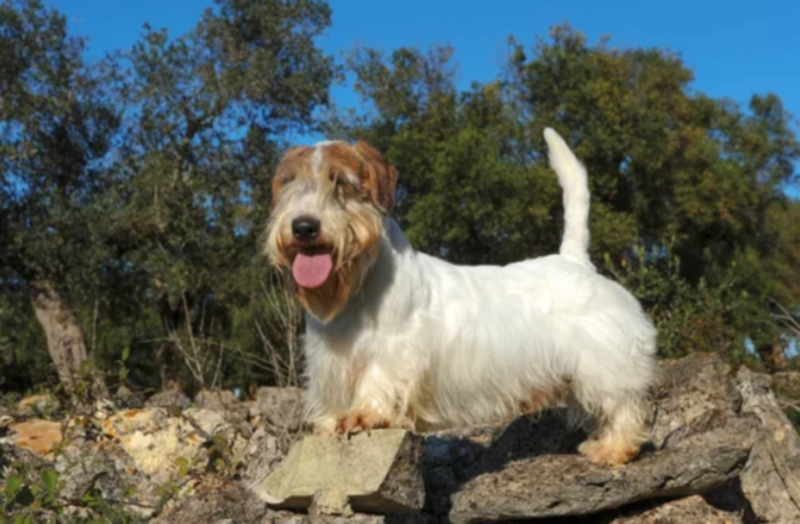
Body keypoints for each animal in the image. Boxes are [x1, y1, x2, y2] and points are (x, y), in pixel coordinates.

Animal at [266, 129, 652, 464]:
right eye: (290, 184)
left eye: (342, 183)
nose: (303, 227)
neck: (355, 289)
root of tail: (574, 260)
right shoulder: (329, 361)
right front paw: (331, 421)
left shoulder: (393, 351)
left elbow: (377, 382)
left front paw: (363, 414)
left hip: (603, 361)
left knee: (621, 405)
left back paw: (613, 449)